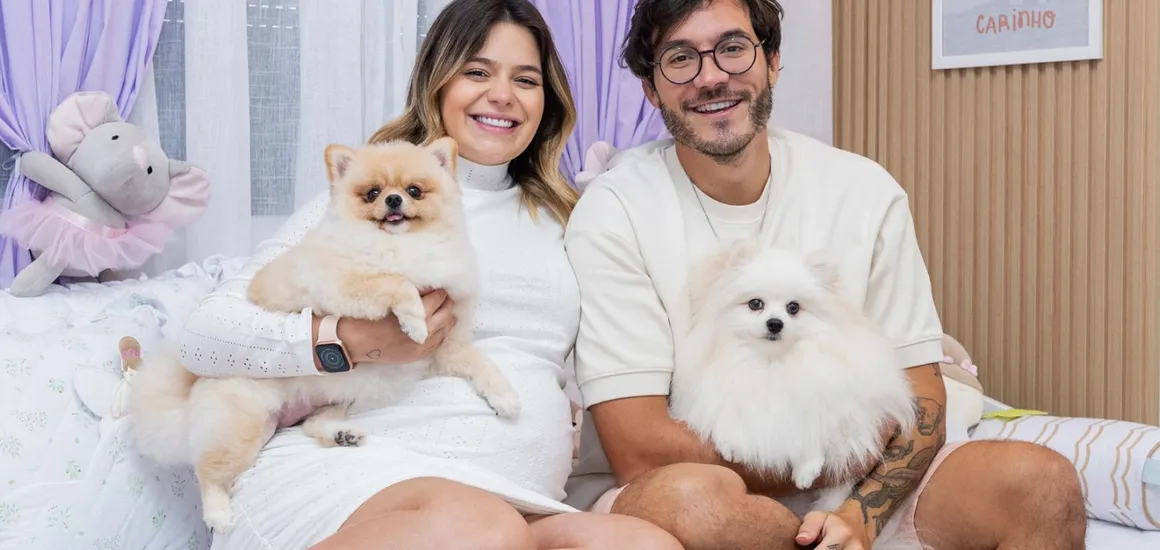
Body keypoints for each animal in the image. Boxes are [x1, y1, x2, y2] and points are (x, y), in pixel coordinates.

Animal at [127, 137, 520, 532]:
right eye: (373, 193)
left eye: (414, 190)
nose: (393, 200)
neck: (404, 244)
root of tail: (193, 391)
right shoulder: (342, 285)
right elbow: (395, 281)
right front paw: (414, 319)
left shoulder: (447, 345)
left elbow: (481, 363)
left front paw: (505, 397)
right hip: (243, 423)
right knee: (207, 470)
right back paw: (218, 513)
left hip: (327, 400)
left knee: (311, 424)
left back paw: (341, 435)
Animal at [669, 240, 916, 513]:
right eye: (755, 304)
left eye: (793, 307)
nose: (775, 323)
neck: (773, 362)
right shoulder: (717, 394)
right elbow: (727, 416)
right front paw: (732, 444)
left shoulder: (837, 406)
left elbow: (815, 430)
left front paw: (806, 469)